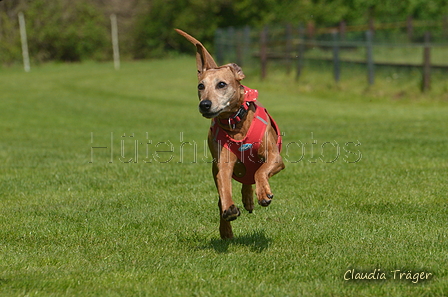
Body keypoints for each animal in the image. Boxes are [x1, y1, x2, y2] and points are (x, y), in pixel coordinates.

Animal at [175, 29, 284, 238]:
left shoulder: (275, 157)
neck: (236, 123)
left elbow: (261, 171)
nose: (205, 104)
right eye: (201, 86)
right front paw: (229, 210)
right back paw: (227, 227)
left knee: (252, 175)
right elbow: (224, 184)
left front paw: (263, 193)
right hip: (214, 167)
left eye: (222, 84)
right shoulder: (223, 163)